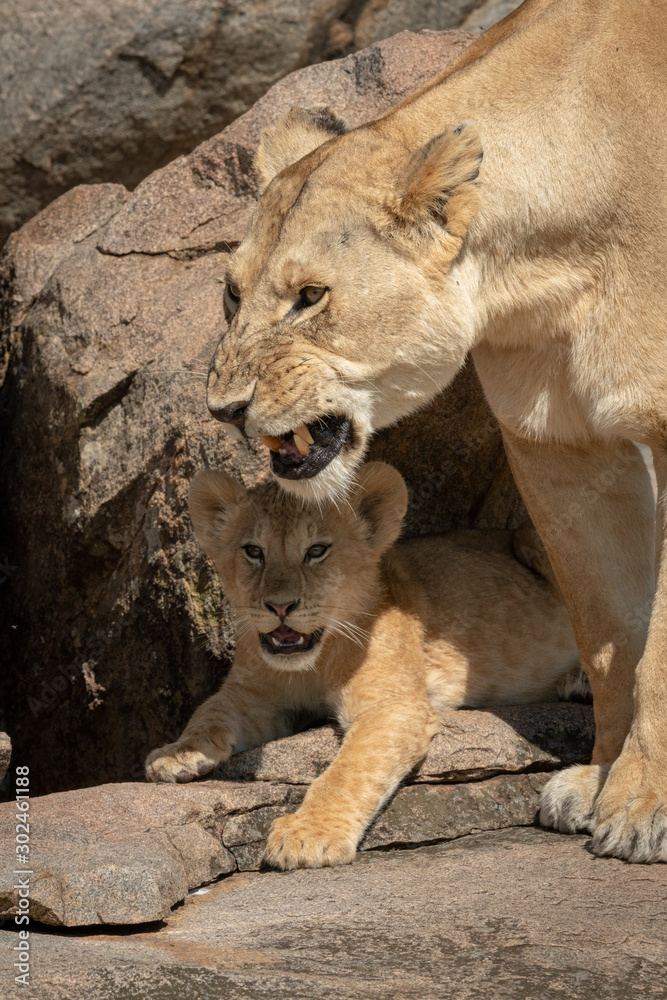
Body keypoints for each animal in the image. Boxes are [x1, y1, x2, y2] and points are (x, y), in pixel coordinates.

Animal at [146, 462, 583, 870]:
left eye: (316, 551)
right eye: (254, 551)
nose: (280, 606)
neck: (313, 664)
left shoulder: (392, 705)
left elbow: (348, 770)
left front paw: (309, 836)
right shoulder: (252, 694)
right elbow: (209, 710)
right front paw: (177, 754)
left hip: (537, 539)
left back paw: (577, 683)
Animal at [203, 0, 667, 863]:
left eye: (310, 296)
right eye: (231, 293)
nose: (224, 409)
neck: (546, 273)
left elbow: (658, 641)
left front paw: (643, 806)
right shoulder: (558, 446)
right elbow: (608, 629)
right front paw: (599, 782)